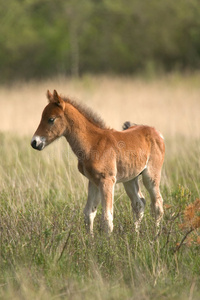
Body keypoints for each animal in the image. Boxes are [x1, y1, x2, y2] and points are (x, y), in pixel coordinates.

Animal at [31, 90, 165, 236]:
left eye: (51, 119)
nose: (35, 142)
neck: (92, 143)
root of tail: (156, 132)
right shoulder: (93, 181)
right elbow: (89, 213)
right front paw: (90, 240)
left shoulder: (107, 180)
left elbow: (107, 217)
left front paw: (107, 242)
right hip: (130, 178)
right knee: (139, 204)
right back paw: (136, 235)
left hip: (150, 175)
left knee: (157, 204)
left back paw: (156, 235)